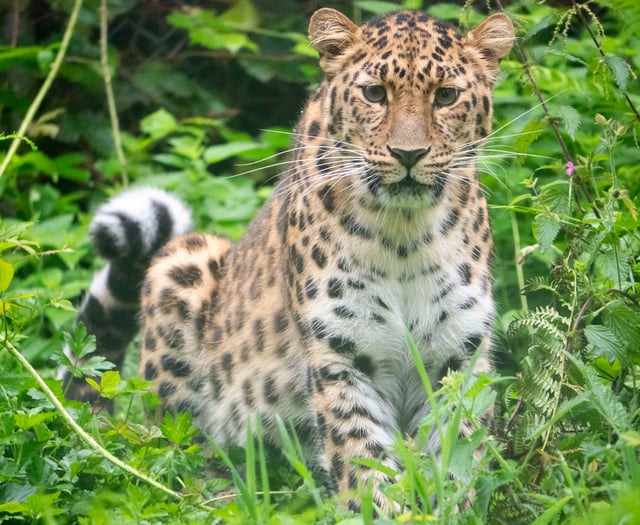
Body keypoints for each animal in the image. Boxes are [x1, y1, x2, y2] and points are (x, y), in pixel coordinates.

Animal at [64, 7, 514, 512]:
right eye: (375, 93)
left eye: (446, 96)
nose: (409, 154)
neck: (404, 235)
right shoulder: (340, 353)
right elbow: (362, 460)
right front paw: (383, 511)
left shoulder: (457, 354)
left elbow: (456, 455)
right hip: (182, 262)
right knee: (185, 456)